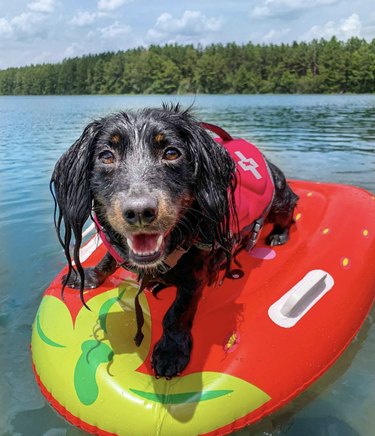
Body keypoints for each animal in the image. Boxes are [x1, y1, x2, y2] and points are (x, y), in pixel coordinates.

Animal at [50, 105, 300, 378]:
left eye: (171, 153)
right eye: (106, 156)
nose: (140, 212)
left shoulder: (196, 275)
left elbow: (177, 312)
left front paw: (171, 352)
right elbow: (108, 258)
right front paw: (88, 275)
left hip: (278, 202)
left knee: (290, 208)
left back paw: (279, 234)